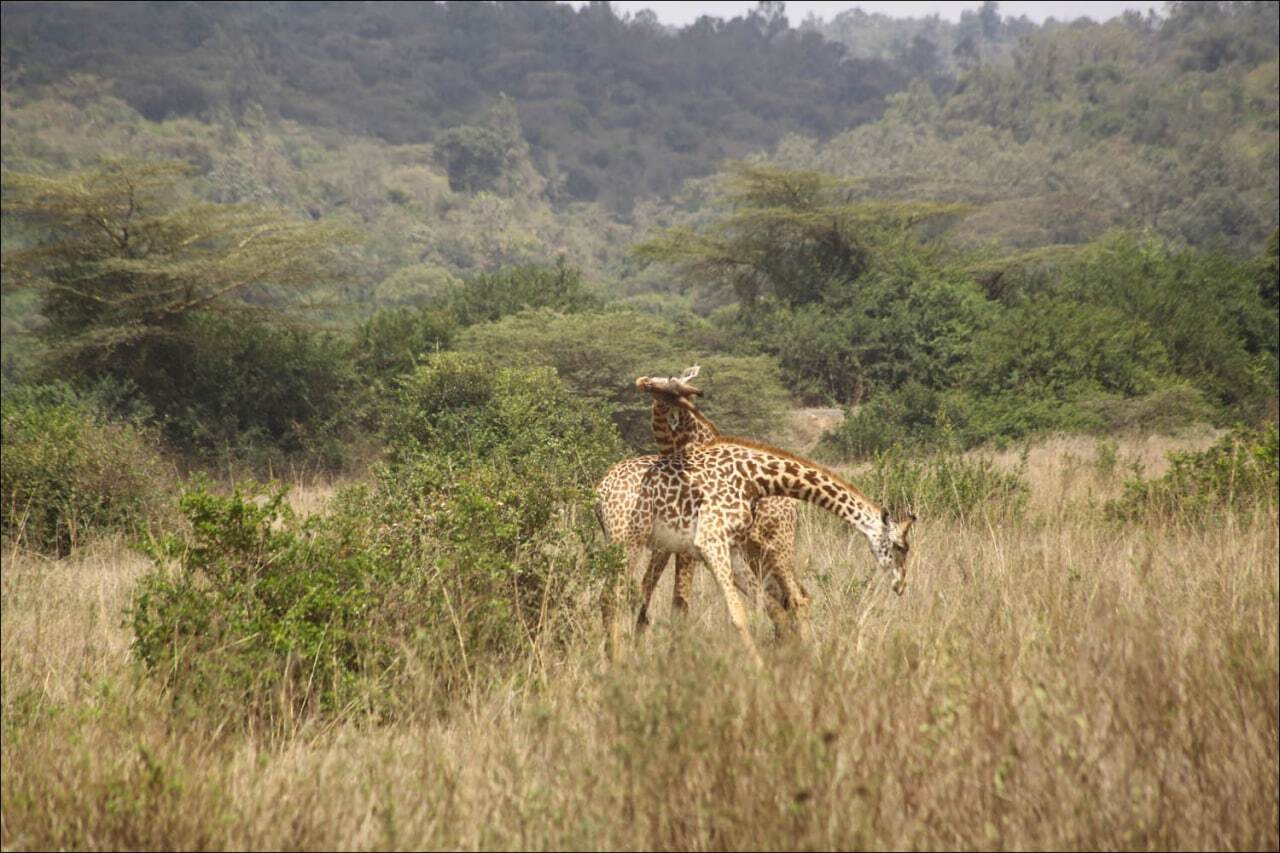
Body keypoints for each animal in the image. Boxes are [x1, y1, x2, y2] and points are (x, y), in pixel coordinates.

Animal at [614, 432, 916, 666]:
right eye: (901, 546)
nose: (901, 585)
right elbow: (656, 594)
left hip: (772, 549)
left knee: (795, 597)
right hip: (766, 551)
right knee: (793, 598)